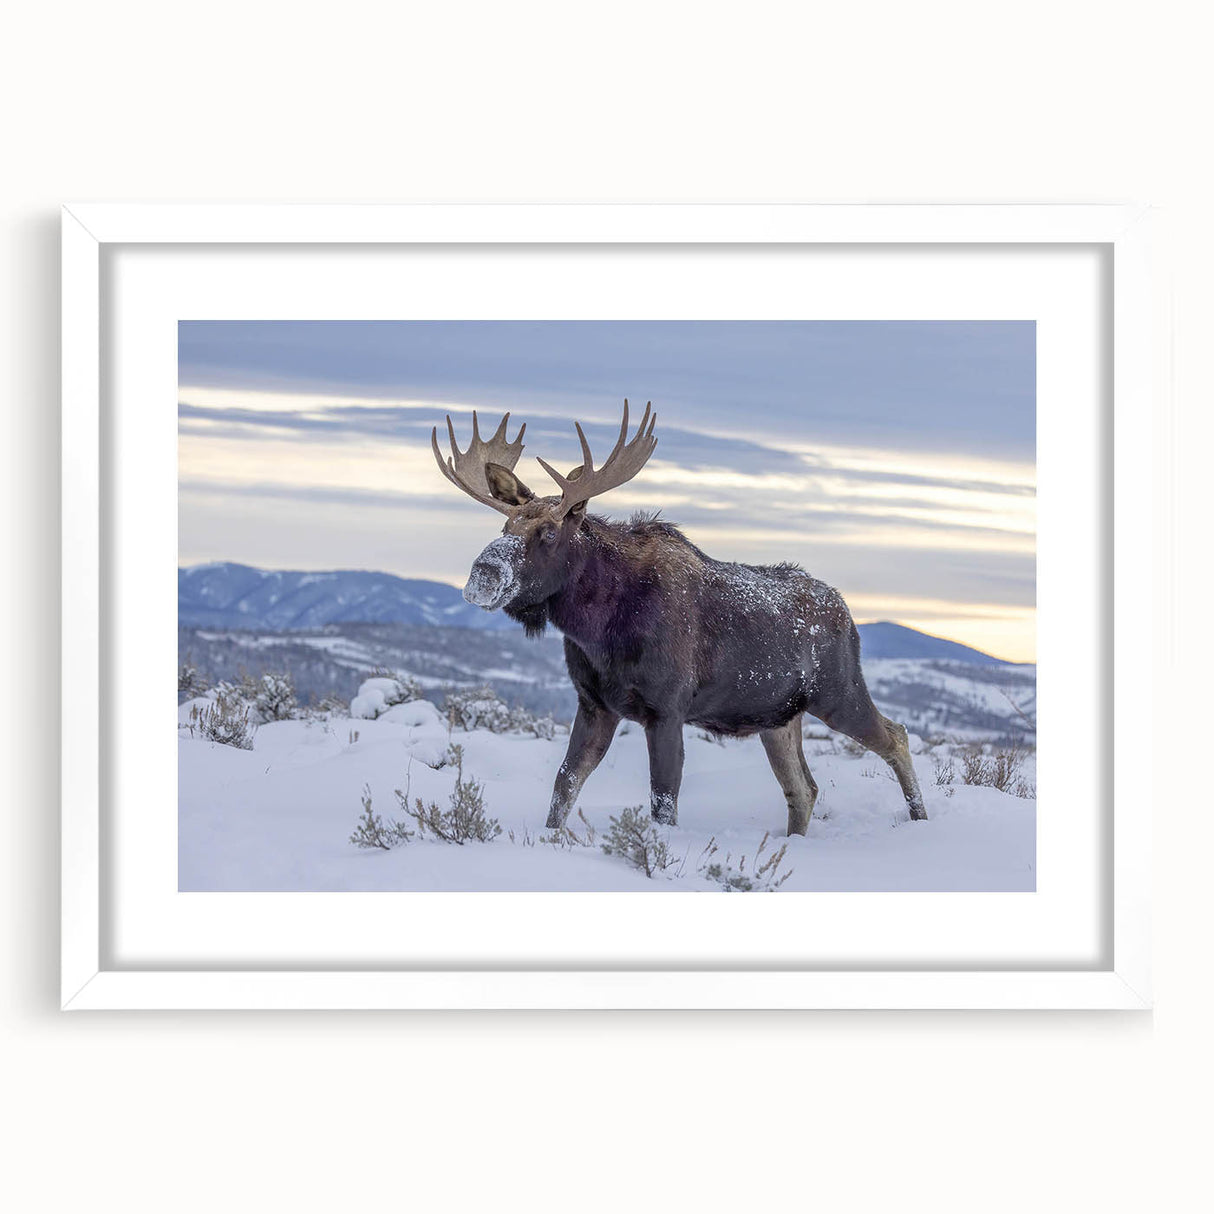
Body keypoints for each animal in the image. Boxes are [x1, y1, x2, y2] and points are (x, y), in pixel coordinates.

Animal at [431, 401, 927, 836]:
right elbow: (564, 785)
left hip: (839, 692)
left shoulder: (666, 710)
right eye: (505, 527)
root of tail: (848, 615)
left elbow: (663, 802)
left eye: (549, 532)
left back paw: (920, 821)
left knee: (897, 736)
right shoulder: (594, 704)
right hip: (779, 718)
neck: (597, 627)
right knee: (804, 789)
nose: (482, 574)